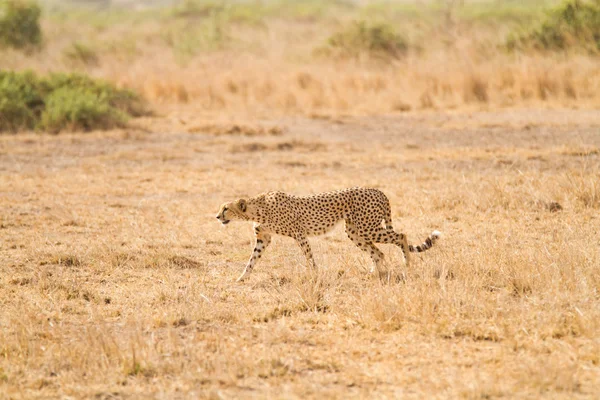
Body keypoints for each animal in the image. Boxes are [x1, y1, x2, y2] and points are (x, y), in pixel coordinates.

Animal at [216, 188, 440, 282]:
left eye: (226, 208)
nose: (217, 216)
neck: (258, 209)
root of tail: (379, 191)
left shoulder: (299, 234)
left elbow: (309, 257)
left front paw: (314, 275)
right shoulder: (264, 238)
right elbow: (252, 260)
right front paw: (242, 278)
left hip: (367, 228)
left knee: (401, 236)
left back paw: (407, 264)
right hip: (355, 231)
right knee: (379, 253)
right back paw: (375, 274)